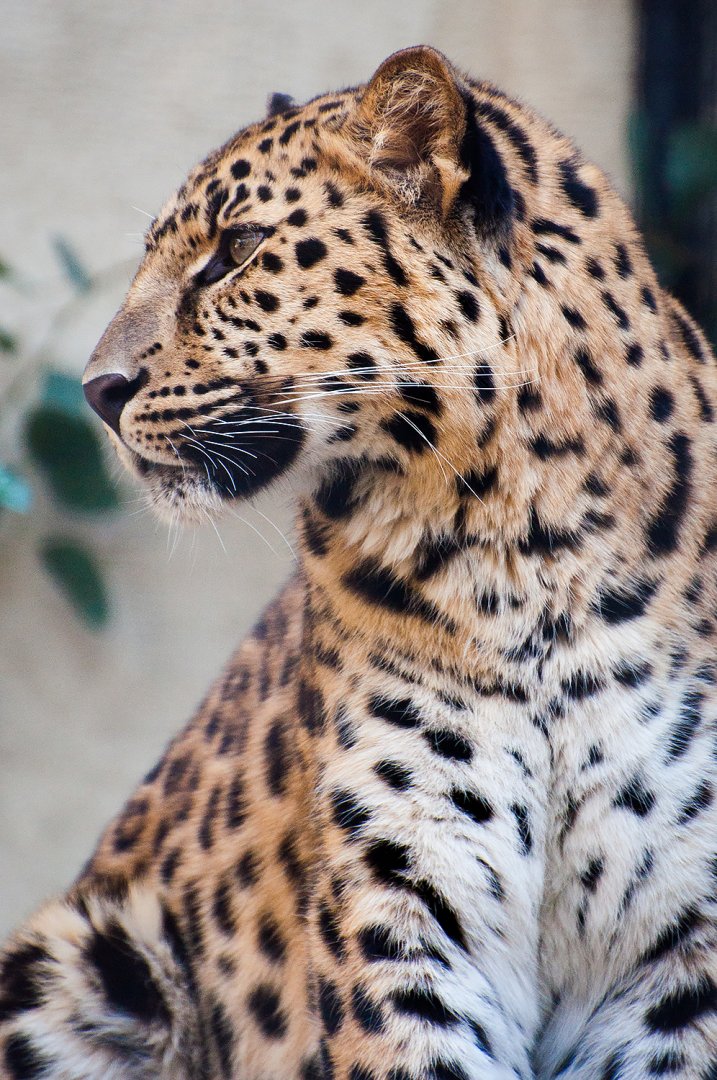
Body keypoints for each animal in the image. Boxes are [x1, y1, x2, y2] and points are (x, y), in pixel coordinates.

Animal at [2, 42, 717, 1080]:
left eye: (235, 251)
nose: (99, 390)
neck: (528, 547)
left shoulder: (675, 952)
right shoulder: (408, 895)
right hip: (74, 962)